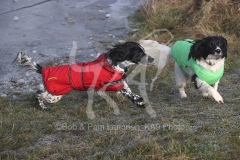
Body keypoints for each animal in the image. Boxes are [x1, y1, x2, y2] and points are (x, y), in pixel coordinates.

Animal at [13, 42, 154, 113]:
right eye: (139, 54)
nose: (152, 59)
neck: (114, 63)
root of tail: (43, 69)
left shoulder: (121, 82)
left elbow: (129, 92)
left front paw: (140, 103)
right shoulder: (109, 86)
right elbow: (129, 94)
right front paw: (139, 100)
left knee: (38, 92)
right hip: (55, 95)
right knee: (37, 95)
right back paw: (41, 106)